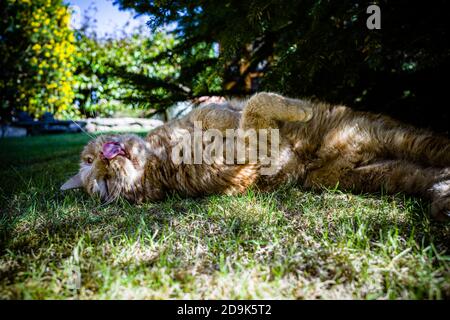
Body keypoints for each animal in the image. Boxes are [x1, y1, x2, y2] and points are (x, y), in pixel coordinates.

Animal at [61, 92, 450, 220]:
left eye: (93, 160)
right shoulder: (246, 153)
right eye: (104, 184)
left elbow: (232, 107)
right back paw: (443, 198)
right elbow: (255, 106)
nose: (107, 157)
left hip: (397, 142)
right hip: (384, 170)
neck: (161, 156)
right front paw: (298, 112)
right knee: (434, 170)